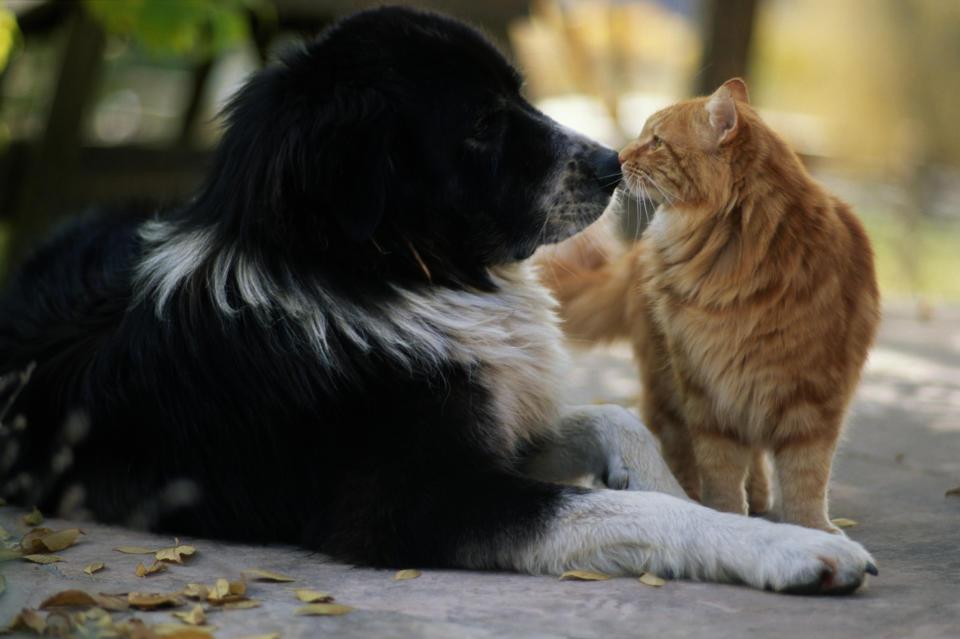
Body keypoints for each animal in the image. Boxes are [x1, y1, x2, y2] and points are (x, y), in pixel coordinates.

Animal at [540, 77, 876, 532]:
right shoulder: (708, 393)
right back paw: (694, 494)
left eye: (657, 141)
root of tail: (640, 251)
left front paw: (811, 528)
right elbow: (720, 471)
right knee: (677, 446)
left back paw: (760, 494)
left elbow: (806, 478)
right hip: (667, 385)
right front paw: (729, 517)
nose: (620, 156)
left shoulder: (812, 398)